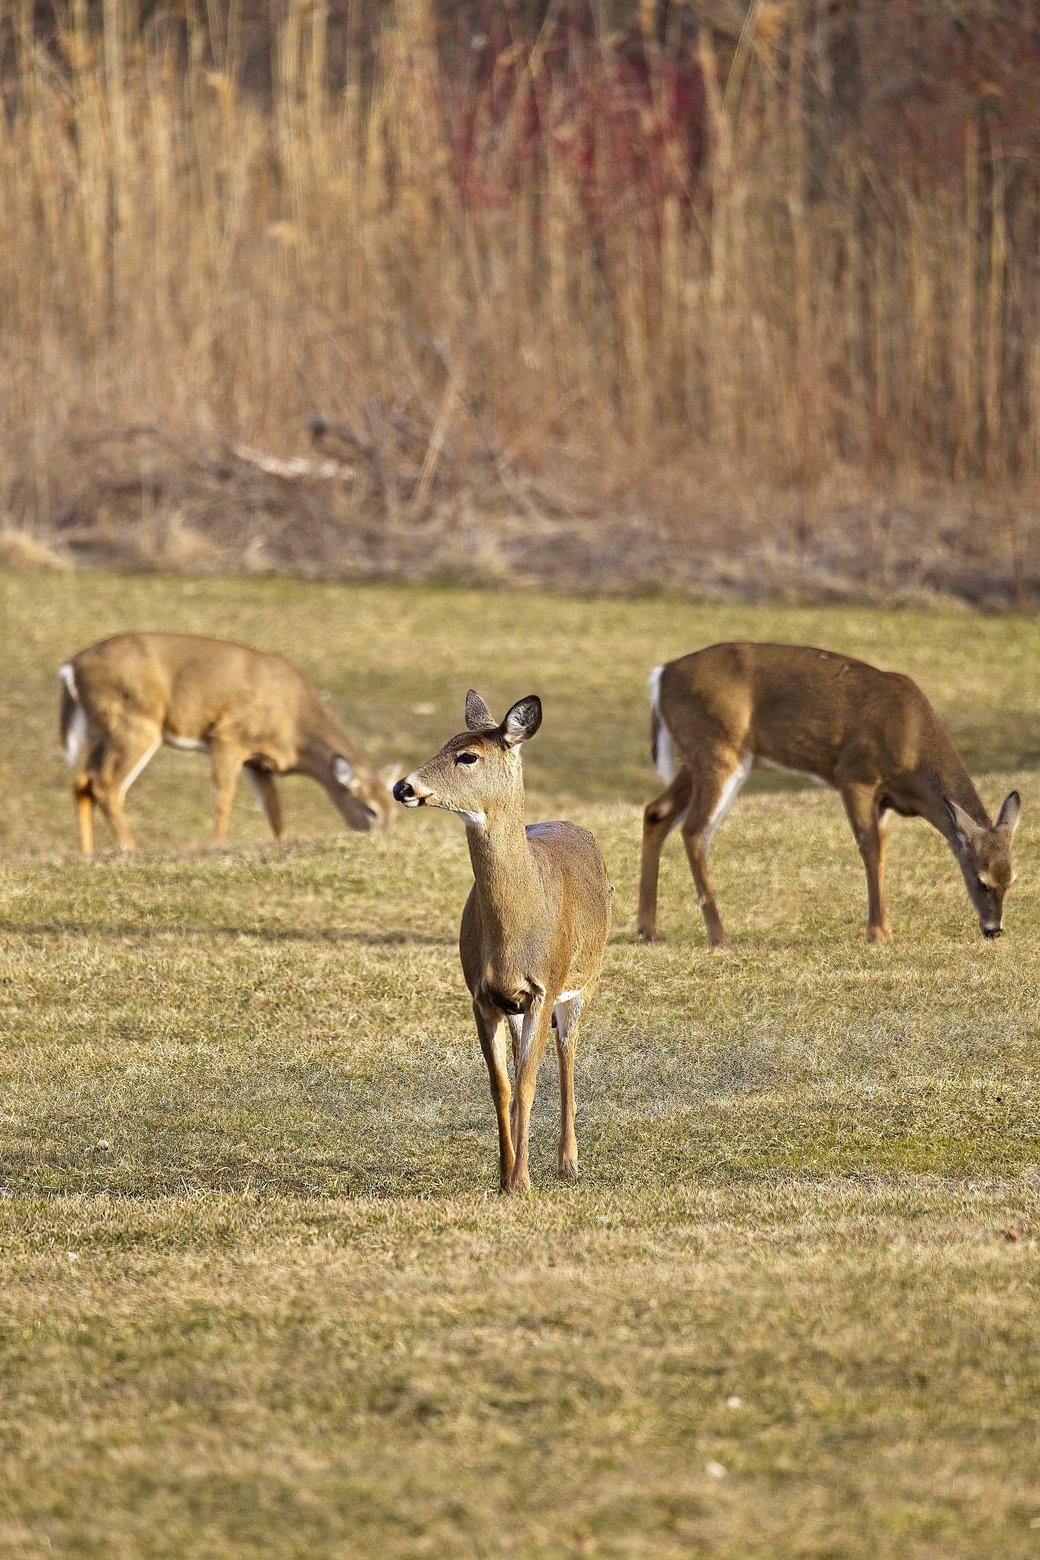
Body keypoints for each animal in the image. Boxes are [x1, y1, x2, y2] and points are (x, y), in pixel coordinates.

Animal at [59, 631, 397, 853]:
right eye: (370, 809)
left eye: (392, 809)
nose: (381, 838)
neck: (293, 725)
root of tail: (72, 664)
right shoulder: (228, 737)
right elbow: (223, 797)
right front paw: (219, 845)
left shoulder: (259, 761)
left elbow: (273, 807)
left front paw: (284, 843)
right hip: (137, 725)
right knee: (107, 786)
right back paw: (132, 849)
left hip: (101, 731)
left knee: (82, 783)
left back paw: (88, 854)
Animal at [393, 691, 612, 1193]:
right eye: (444, 742)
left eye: (468, 756)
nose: (403, 787)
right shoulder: (481, 994)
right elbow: (502, 1084)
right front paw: (503, 1174)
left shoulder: (544, 987)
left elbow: (530, 1082)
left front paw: (523, 1181)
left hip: (584, 981)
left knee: (568, 1054)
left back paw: (568, 1162)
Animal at [637, 642, 1021, 949]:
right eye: (982, 881)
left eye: (1011, 879)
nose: (994, 929)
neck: (912, 742)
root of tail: (662, 675)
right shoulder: (855, 775)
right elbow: (870, 847)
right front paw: (878, 933)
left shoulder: (883, 799)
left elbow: (882, 850)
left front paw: (885, 929)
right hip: (719, 751)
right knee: (694, 831)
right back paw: (719, 937)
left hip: (696, 759)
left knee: (656, 812)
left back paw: (649, 929)